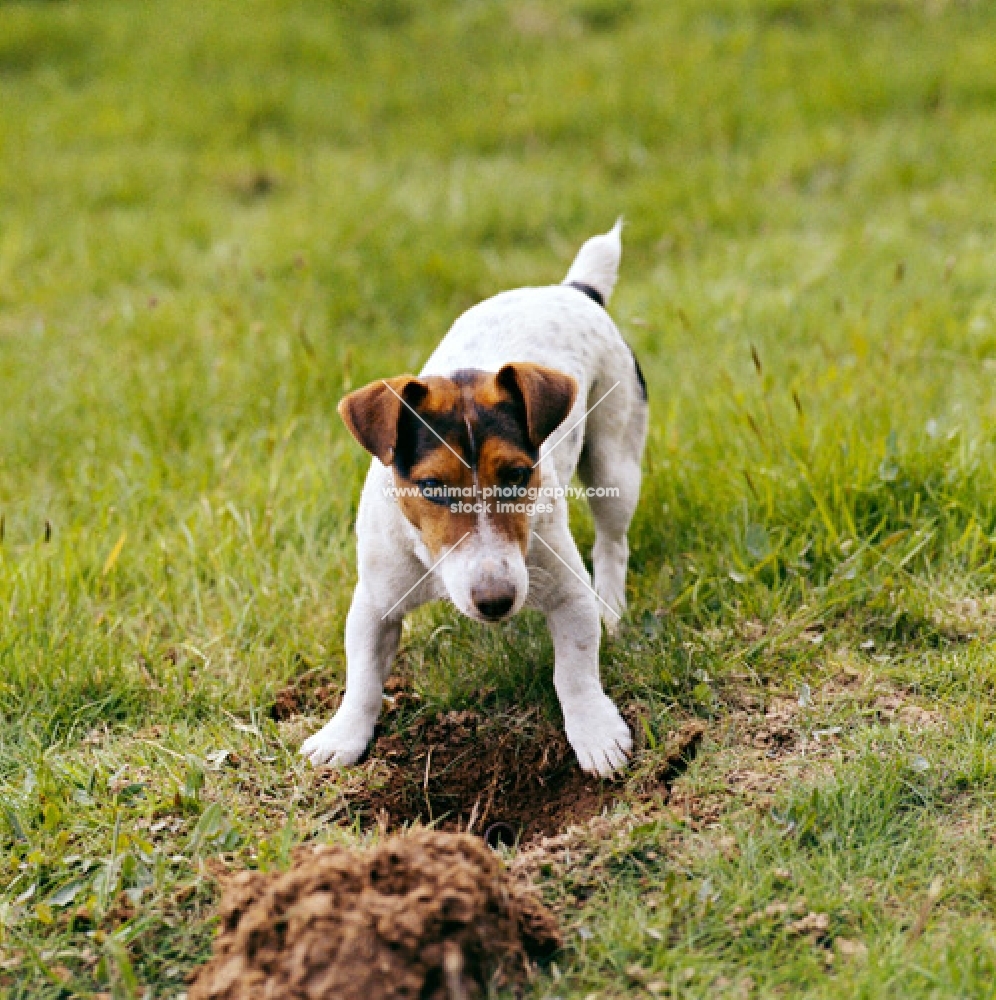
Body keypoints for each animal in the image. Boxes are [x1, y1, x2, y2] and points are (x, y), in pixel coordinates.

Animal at [300, 223, 648, 776]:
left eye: (516, 475)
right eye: (432, 488)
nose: (496, 602)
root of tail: (573, 289)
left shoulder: (566, 591)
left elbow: (574, 670)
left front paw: (595, 732)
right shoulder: (375, 601)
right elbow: (363, 678)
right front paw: (343, 736)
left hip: (615, 459)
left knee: (612, 543)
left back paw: (612, 609)